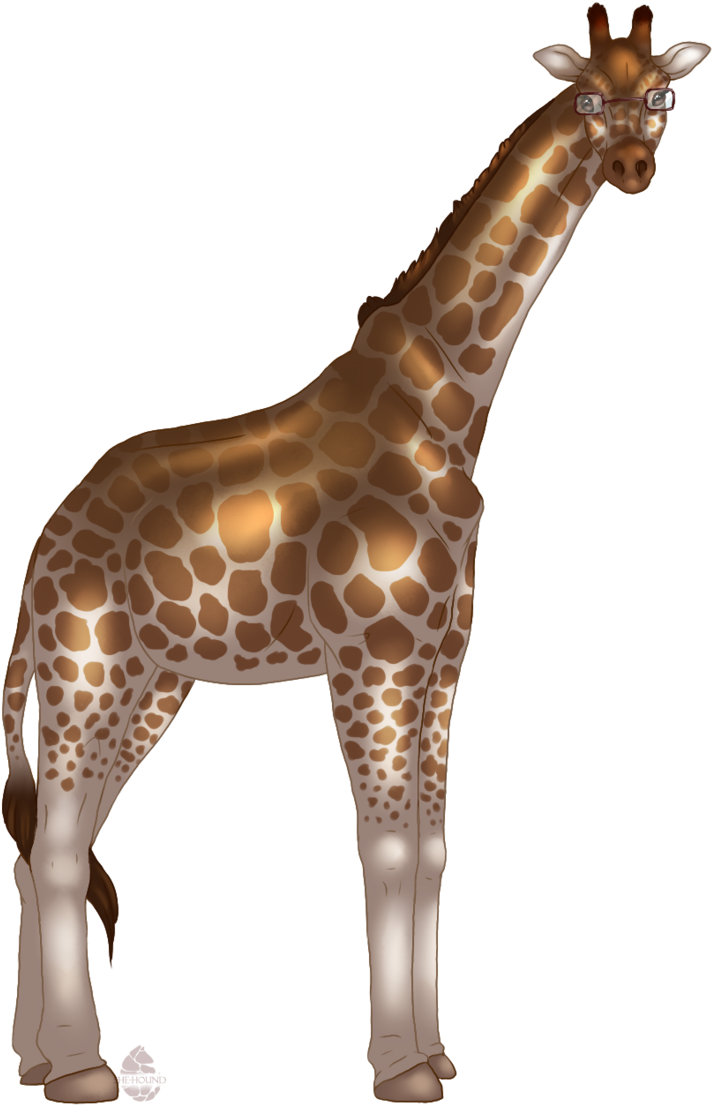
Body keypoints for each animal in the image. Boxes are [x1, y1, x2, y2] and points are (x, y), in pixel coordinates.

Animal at [2, 6, 709, 1103]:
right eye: (589, 96)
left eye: (664, 93)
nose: (634, 164)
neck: (448, 408)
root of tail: (41, 551)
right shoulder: (370, 658)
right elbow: (383, 852)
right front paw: (399, 1068)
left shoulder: (443, 662)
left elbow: (433, 852)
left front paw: (433, 1049)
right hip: (87, 669)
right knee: (65, 851)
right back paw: (81, 1070)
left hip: (148, 684)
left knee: (46, 848)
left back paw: (36, 1057)